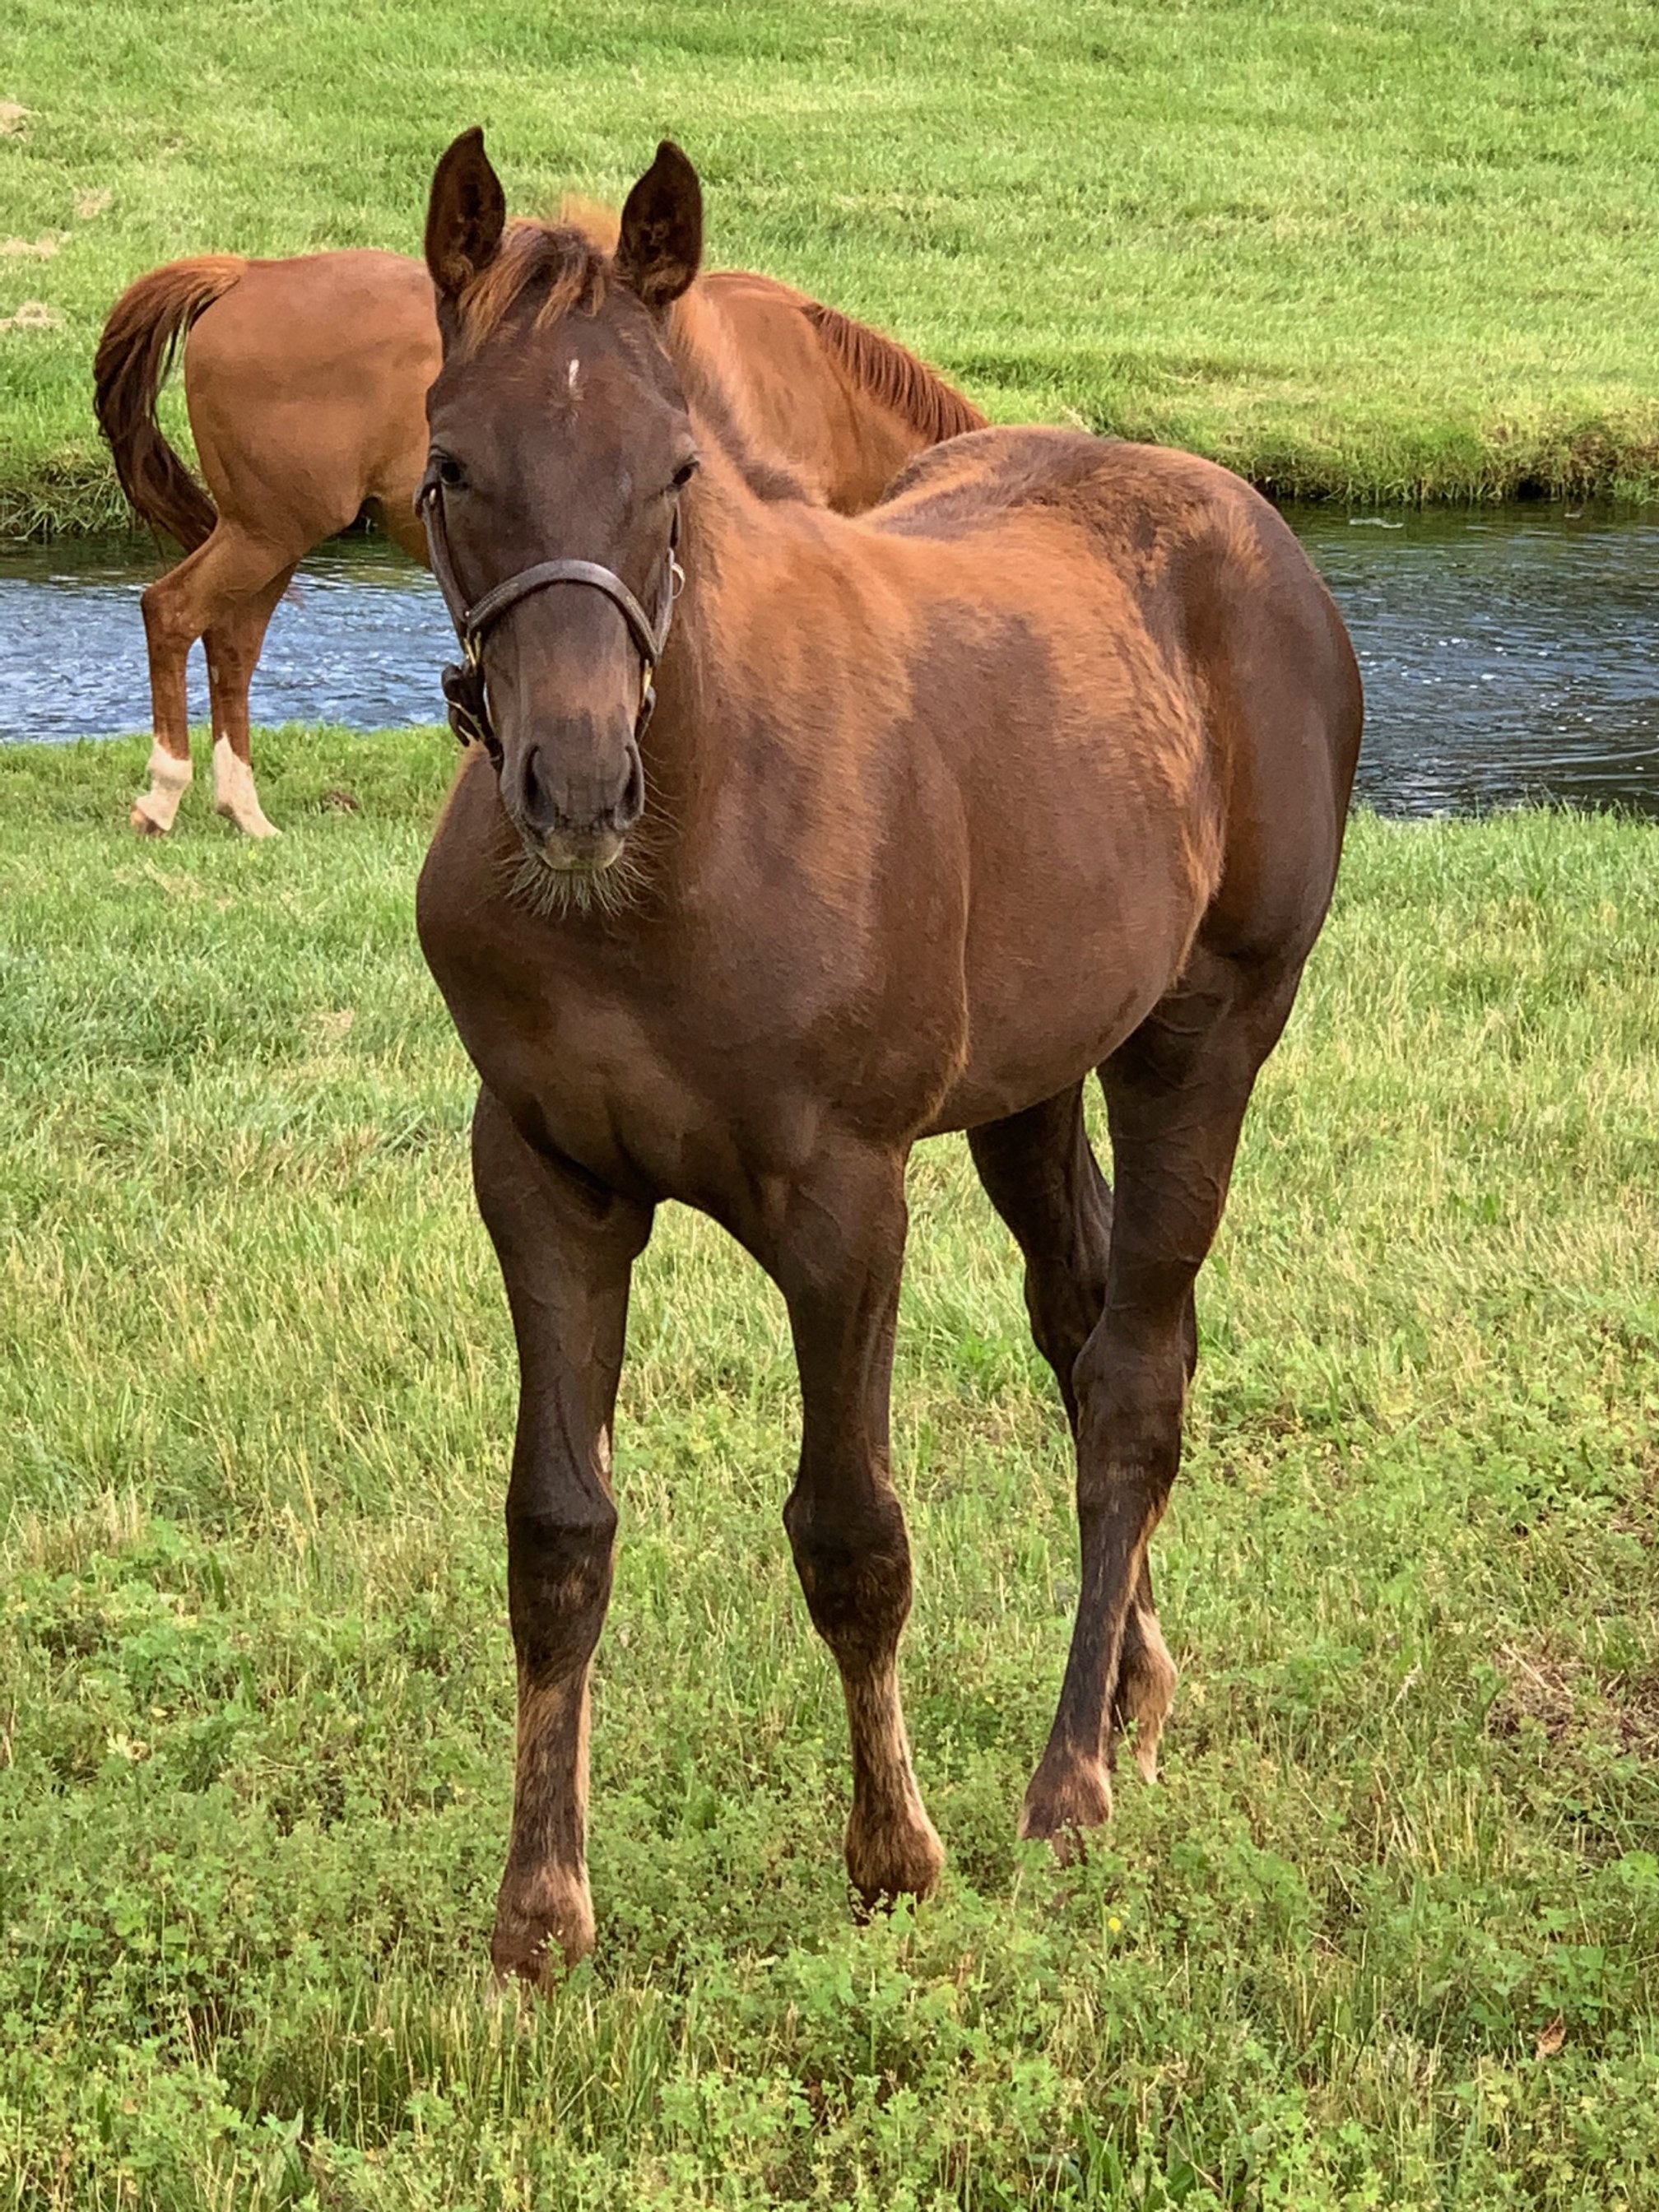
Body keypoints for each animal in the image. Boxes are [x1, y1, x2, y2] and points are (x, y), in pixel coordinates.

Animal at [93, 231, 983, 838]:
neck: (816, 389)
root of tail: (247, 276)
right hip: (266, 532)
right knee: (171, 612)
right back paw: (165, 790)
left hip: (269, 535)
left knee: (231, 643)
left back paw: (241, 806)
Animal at [413, 129, 1363, 1985]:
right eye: (449, 464)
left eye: (676, 468)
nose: (575, 785)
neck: (674, 864)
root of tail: (1257, 533)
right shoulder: (543, 1175)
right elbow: (555, 1532)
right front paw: (539, 1911)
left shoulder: (844, 1200)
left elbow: (850, 1533)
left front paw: (894, 1857)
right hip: (1033, 1082)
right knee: (1083, 1325)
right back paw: (1132, 1690)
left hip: (1206, 1033)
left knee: (1136, 1378)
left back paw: (1069, 1785)